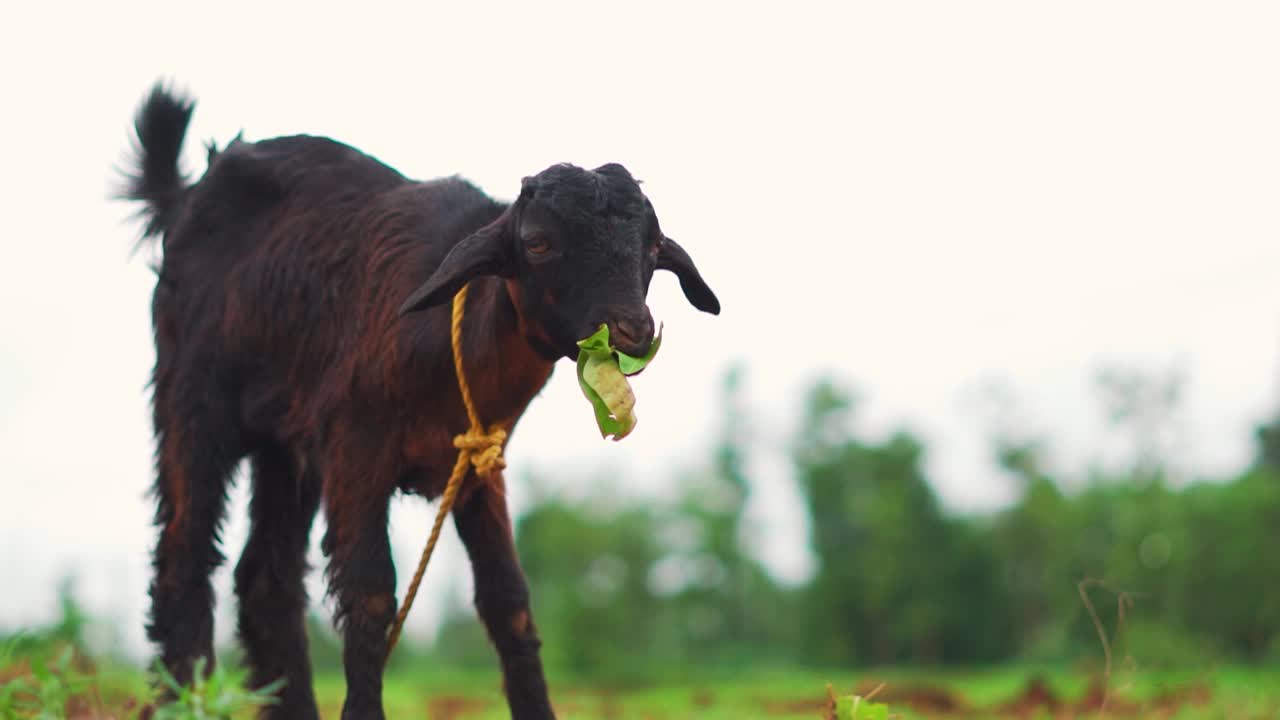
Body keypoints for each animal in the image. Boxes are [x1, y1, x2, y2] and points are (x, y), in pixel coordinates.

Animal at [117, 81, 721, 712]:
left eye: (653, 244)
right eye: (536, 243)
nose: (632, 331)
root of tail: (187, 193)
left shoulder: (478, 461)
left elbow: (509, 601)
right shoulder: (356, 450)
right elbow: (370, 595)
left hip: (288, 443)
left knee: (266, 582)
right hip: (193, 404)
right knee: (184, 557)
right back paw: (184, 700)